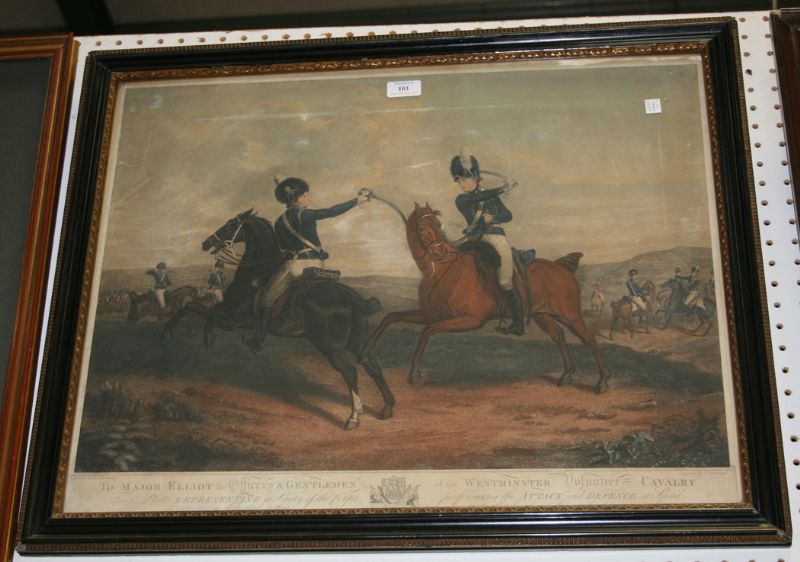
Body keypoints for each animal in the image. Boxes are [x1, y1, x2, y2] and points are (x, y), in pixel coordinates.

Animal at [160, 209, 395, 429]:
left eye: (230, 224)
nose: (207, 242)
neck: (255, 271)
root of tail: (349, 296)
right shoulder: (225, 314)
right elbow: (205, 318)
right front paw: (209, 340)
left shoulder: (231, 320)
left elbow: (192, 307)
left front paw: (167, 334)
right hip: (357, 342)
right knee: (372, 366)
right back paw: (387, 407)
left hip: (330, 345)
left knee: (350, 371)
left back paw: (354, 416)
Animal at [360, 202, 611, 394]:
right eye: (422, 226)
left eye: (438, 225)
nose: (440, 253)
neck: (442, 270)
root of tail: (561, 267)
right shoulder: (428, 314)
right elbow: (391, 317)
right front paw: (364, 352)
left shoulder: (469, 320)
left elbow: (427, 331)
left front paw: (414, 371)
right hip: (542, 315)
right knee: (559, 335)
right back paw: (567, 375)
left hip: (570, 316)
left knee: (589, 339)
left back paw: (602, 381)